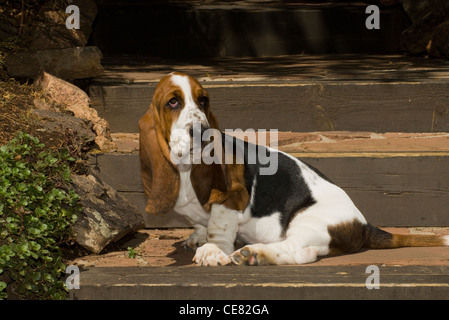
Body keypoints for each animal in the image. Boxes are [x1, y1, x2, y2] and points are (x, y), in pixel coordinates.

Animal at [138, 72, 446, 264]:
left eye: (203, 101)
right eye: (173, 102)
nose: (204, 132)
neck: (185, 169)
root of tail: (364, 225)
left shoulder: (232, 199)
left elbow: (219, 225)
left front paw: (212, 249)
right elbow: (202, 223)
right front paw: (198, 237)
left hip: (306, 221)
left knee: (300, 250)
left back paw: (255, 254)